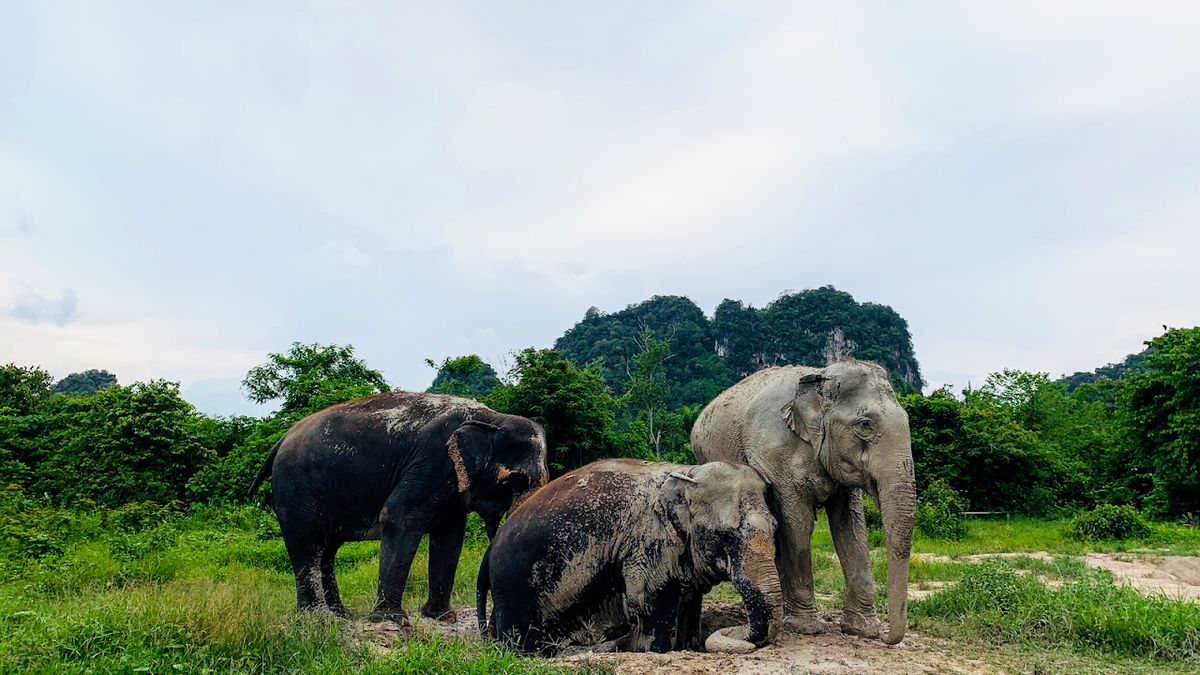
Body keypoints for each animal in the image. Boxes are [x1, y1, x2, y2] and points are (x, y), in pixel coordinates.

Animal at [247, 391, 549, 623]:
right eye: (515, 481)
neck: (492, 417)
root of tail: (281, 440)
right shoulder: (432, 459)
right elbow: (400, 516)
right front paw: (392, 620)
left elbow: (450, 535)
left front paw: (442, 618)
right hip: (294, 489)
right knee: (307, 544)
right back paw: (318, 618)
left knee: (327, 550)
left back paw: (341, 614)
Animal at [477, 458, 783, 655]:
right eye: (725, 536)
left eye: (775, 528)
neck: (685, 474)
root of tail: (489, 550)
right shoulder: (647, 545)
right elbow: (651, 603)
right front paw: (657, 651)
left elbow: (689, 600)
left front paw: (690, 647)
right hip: (515, 588)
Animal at [691, 360, 916, 645]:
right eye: (865, 425)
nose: (886, 637)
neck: (819, 379)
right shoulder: (774, 454)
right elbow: (797, 523)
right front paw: (808, 628)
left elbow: (850, 528)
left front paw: (862, 629)